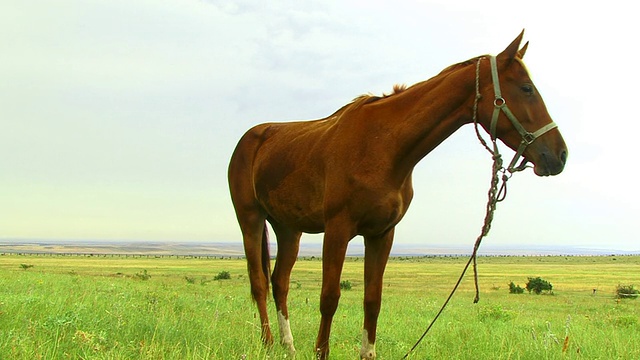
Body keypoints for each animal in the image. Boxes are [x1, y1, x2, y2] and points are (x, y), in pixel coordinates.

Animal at [229, 31, 564, 360]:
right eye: (526, 88)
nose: (560, 155)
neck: (384, 145)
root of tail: (250, 139)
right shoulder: (338, 229)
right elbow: (330, 297)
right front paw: (321, 351)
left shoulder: (382, 233)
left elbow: (372, 300)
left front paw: (367, 352)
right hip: (251, 219)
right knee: (259, 283)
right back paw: (267, 343)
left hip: (289, 229)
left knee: (280, 282)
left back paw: (288, 345)